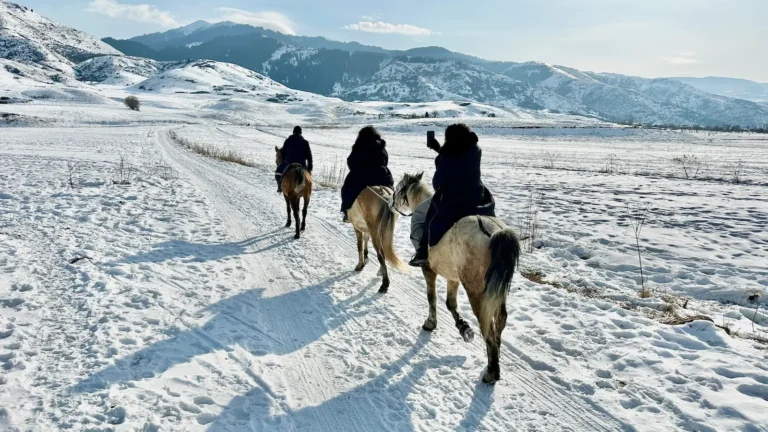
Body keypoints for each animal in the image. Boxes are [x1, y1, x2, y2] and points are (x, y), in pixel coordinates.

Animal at [392, 173, 521, 384]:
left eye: (398, 189)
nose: (391, 203)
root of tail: (496, 232)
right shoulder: (453, 277)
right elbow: (450, 303)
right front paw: (464, 329)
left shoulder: (428, 270)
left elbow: (432, 298)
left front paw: (430, 323)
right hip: (498, 292)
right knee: (500, 321)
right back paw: (495, 361)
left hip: (477, 292)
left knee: (488, 328)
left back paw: (491, 372)